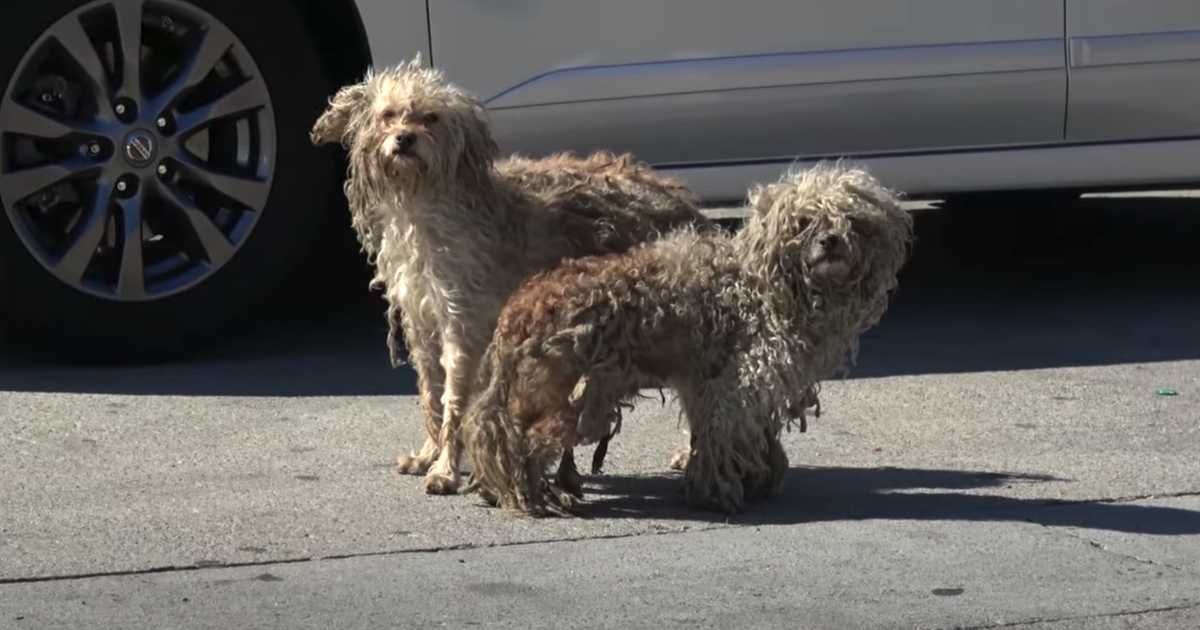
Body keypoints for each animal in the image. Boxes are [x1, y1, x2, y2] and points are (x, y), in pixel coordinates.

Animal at [309, 61, 710, 496]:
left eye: (430, 117)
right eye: (388, 115)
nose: (404, 138)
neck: (423, 201)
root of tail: (681, 198)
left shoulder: (462, 322)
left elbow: (454, 399)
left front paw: (445, 468)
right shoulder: (423, 322)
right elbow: (431, 393)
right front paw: (428, 454)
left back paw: (692, 454)